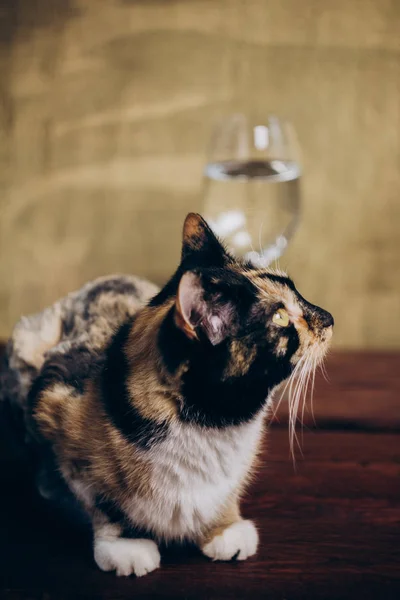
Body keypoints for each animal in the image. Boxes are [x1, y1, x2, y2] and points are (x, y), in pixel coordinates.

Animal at [0, 213, 332, 576]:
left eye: (296, 292)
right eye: (281, 317)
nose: (329, 318)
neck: (212, 425)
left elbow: (226, 492)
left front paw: (224, 529)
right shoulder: (56, 407)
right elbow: (103, 503)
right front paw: (127, 547)